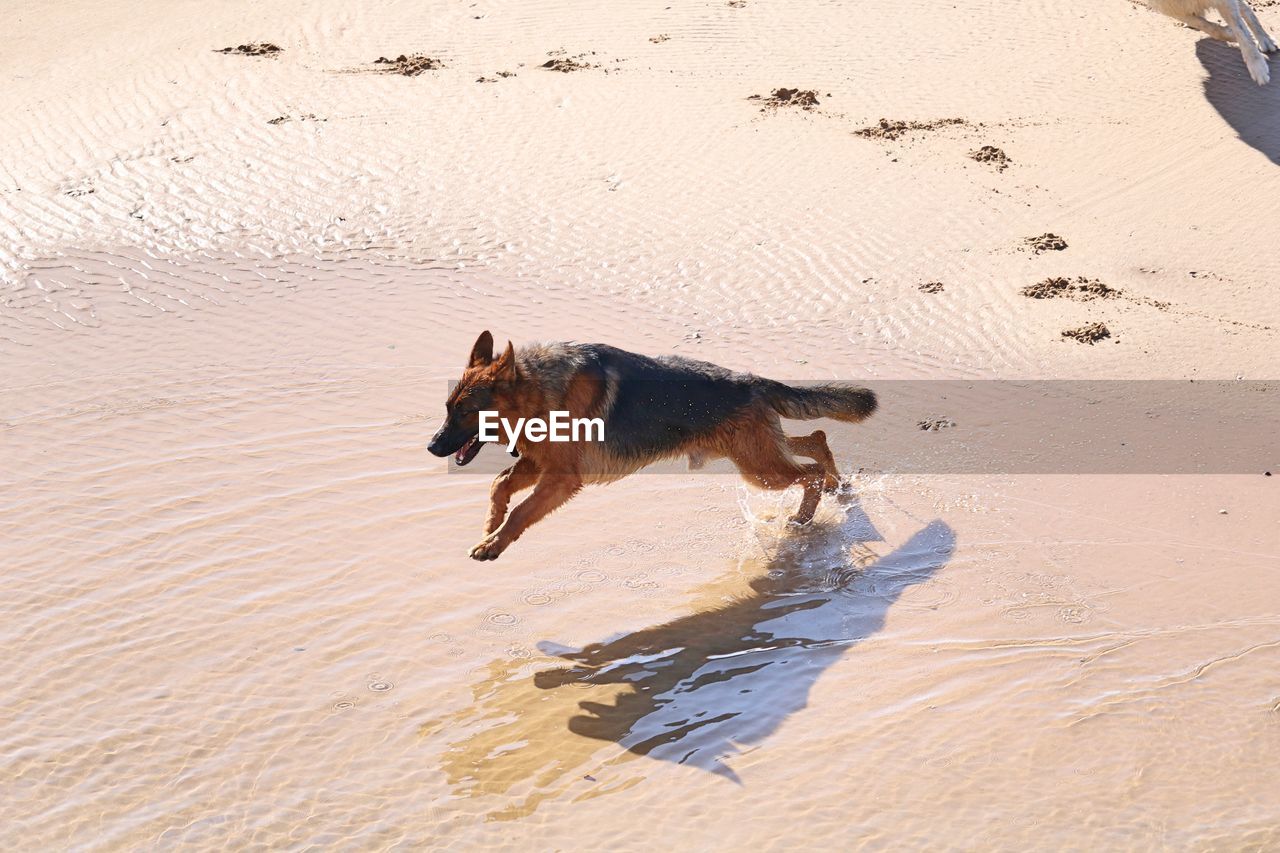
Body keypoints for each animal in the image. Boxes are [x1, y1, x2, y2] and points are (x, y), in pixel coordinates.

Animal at [424, 330, 875, 558]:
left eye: (464, 412)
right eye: (447, 408)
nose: (431, 447)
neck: (538, 389)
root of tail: (752, 380)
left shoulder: (560, 479)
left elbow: (520, 511)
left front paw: (493, 543)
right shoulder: (539, 464)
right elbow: (499, 484)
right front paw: (490, 523)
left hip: (759, 468)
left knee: (808, 471)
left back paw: (803, 517)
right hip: (756, 453)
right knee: (815, 441)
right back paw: (836, 486)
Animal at [1152, 0, 1280, 83]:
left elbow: (1241, 30)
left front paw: (1257, 66)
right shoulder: (1170, 8)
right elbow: (1201, 24)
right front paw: (1229, 33)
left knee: (1245, 9)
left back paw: (1265, 39)